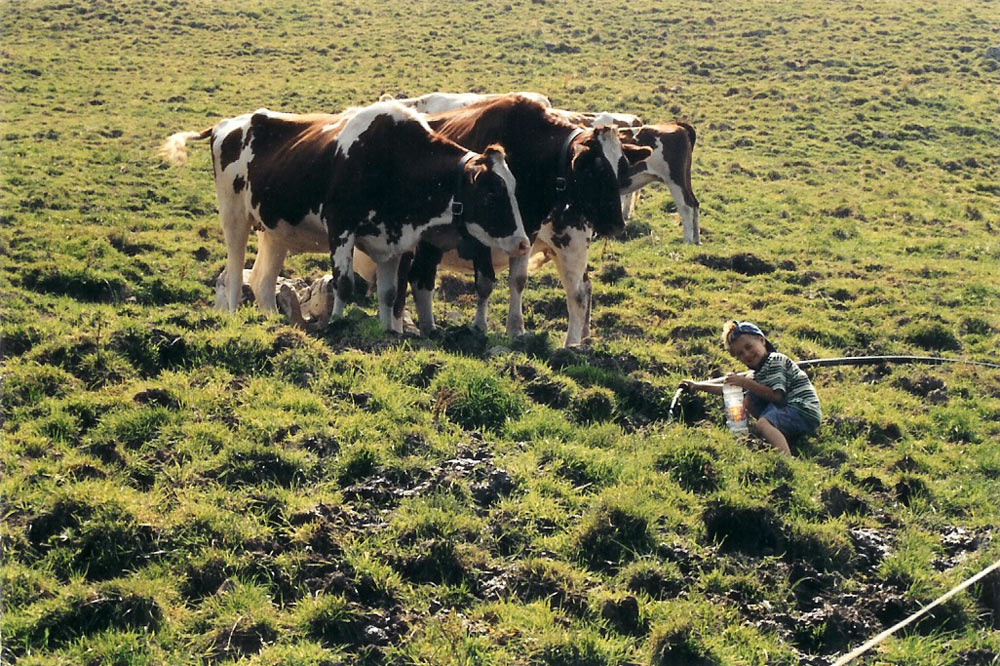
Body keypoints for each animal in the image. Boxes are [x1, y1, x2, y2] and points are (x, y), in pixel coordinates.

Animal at [158, 100, 532, 330]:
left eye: (514, 187)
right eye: (492, 192)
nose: (523, 243)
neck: (392, 158)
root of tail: (228, 123)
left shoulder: (395, 242)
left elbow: (389, 294)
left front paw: (387, 331)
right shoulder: (340, 228)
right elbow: (344, 282)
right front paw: (338, 323)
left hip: (274, 230)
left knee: (263, 282)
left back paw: (273, 322)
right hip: (234, 215)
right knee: (235, 273)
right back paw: (236, 315)